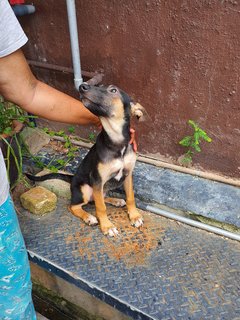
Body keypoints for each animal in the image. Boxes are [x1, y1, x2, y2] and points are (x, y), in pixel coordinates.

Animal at [27, 84, 145, 236]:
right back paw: (89, 217)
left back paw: (116, 200)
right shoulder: (97, 179)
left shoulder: (128, 174)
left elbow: (130, 197)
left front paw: (134, 216)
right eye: (99, 86)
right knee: (75, 206)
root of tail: (72, 178)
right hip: (84, 190)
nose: (83, 86)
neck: (117, 143)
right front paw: (107, 226)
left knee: (98, 198)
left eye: (113, 90)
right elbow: (101, 207)